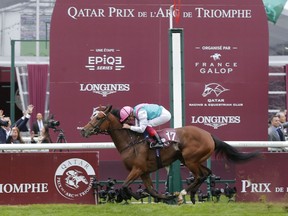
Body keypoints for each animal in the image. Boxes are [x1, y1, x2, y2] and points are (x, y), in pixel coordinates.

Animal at [80, 104, 258, 204]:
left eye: (98, 118)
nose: (83, 130)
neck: (131, 141)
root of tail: (208, 134)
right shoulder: (144, 171)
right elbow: (151, 190)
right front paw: (162, 197)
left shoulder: (137, 169)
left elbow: (124, 186)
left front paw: (137, 196)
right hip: (193, 160)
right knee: (207, 173)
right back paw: (191, 195)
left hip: (190, 160)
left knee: (200, 175)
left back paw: (183, 194)